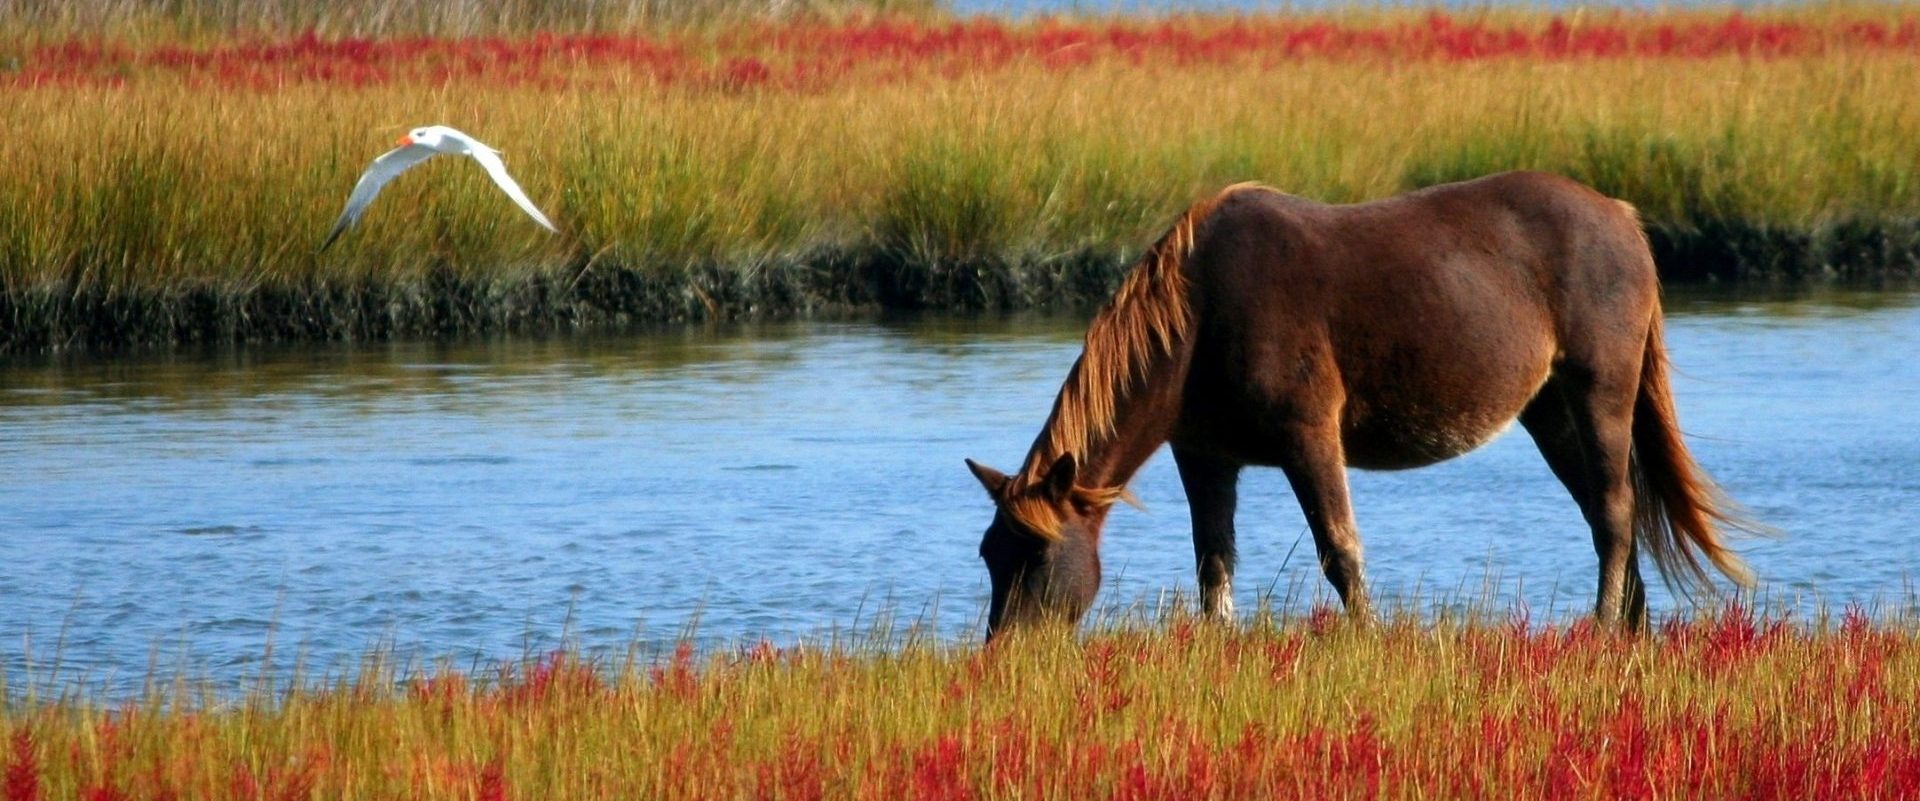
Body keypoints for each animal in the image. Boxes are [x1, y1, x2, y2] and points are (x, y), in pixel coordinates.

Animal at [975, 169, 1758, 637]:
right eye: (989, 553)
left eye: (1036, 555)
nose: (1005, 654)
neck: (1199, 315)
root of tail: (1623, 218)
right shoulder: (1205, 456)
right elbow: (1213, 564)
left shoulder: (1309, 437)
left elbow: (1340, 552)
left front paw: (1367, 640)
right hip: (1550, 412)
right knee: (1606, 511)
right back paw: (1629, 629)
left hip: (1600, 392)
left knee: (1617, 514)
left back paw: (1601, 630)